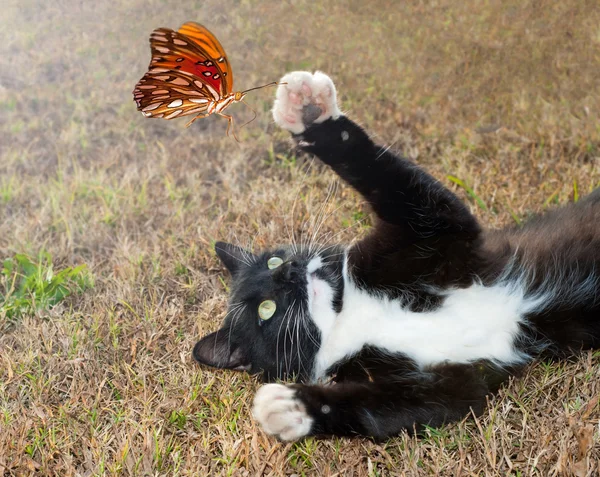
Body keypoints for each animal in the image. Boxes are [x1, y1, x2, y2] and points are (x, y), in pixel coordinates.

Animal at [193, 69, 600, 438]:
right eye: (267, 310)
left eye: (274, 260)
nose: (288, 271)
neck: (347, 313)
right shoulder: (445, 382)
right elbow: (378, 409)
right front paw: (293, 408)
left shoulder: (431, 232)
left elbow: (384, 174)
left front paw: (308, 110)